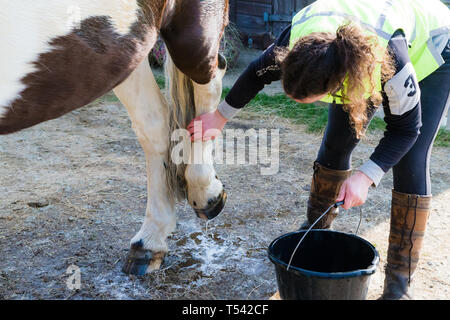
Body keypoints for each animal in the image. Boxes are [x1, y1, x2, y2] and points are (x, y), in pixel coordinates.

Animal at [0, 0, 229, 276]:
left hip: (191, 33)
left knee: (210, 84)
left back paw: (206, 195)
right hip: (126, 49)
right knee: (154, 122)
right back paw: (149, 243)